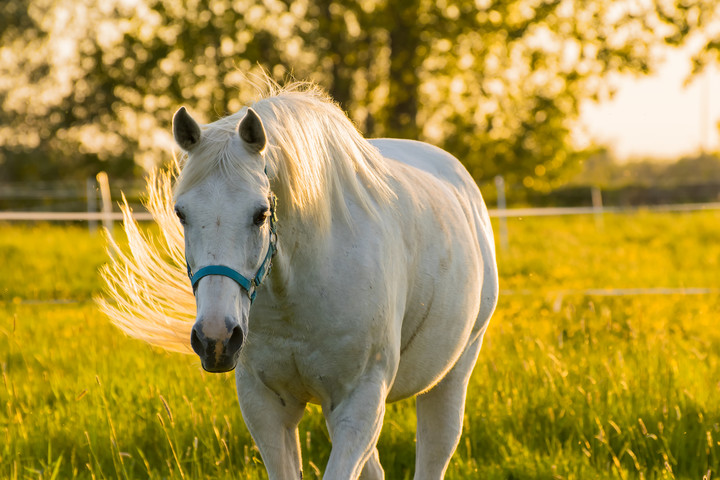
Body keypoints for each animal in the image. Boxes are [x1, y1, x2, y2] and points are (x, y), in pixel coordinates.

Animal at [101, 80, 498, 478]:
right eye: (181, 213)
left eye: (260, 214)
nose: (215, 338)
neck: (296, 296)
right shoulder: (266, 406)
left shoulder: (360, 402)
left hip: (451, 377)